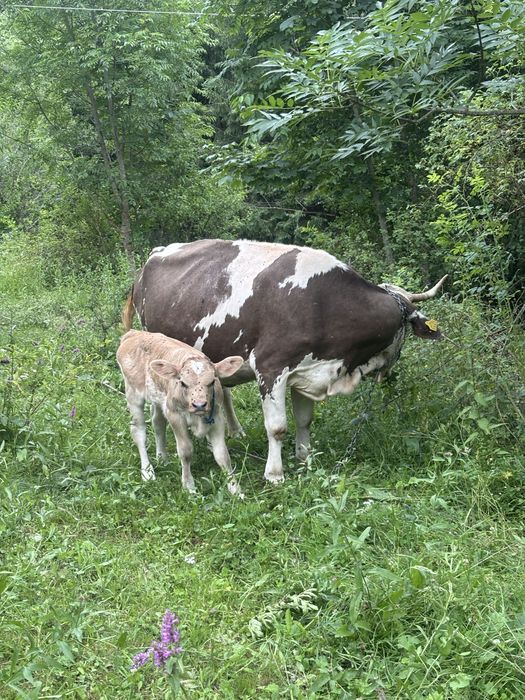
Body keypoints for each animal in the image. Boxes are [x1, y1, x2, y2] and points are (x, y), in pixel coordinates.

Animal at [116, 329, 244, 495]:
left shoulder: (216, 416)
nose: (199, 405)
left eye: (212, 382)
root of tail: (134, 333)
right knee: (138, 432)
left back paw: (162, 458)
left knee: (158, 423)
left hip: (158, 399)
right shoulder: (175, 416)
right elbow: (185, 451)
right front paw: (189, 486)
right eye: (183, 383)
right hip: (133, 394)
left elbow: (222, 454)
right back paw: (147, 472)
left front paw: (235, 489)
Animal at [123, 239, 445, 483]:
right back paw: (161, 455)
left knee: (222, 388)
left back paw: (234, 430)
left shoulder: (308, 372)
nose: (387, 374)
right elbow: (277, 427)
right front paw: (275, 474)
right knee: (156, 414)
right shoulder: (271, 369)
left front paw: (305, 457)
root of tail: (154, 256)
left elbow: (304, 420)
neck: (322, 304)